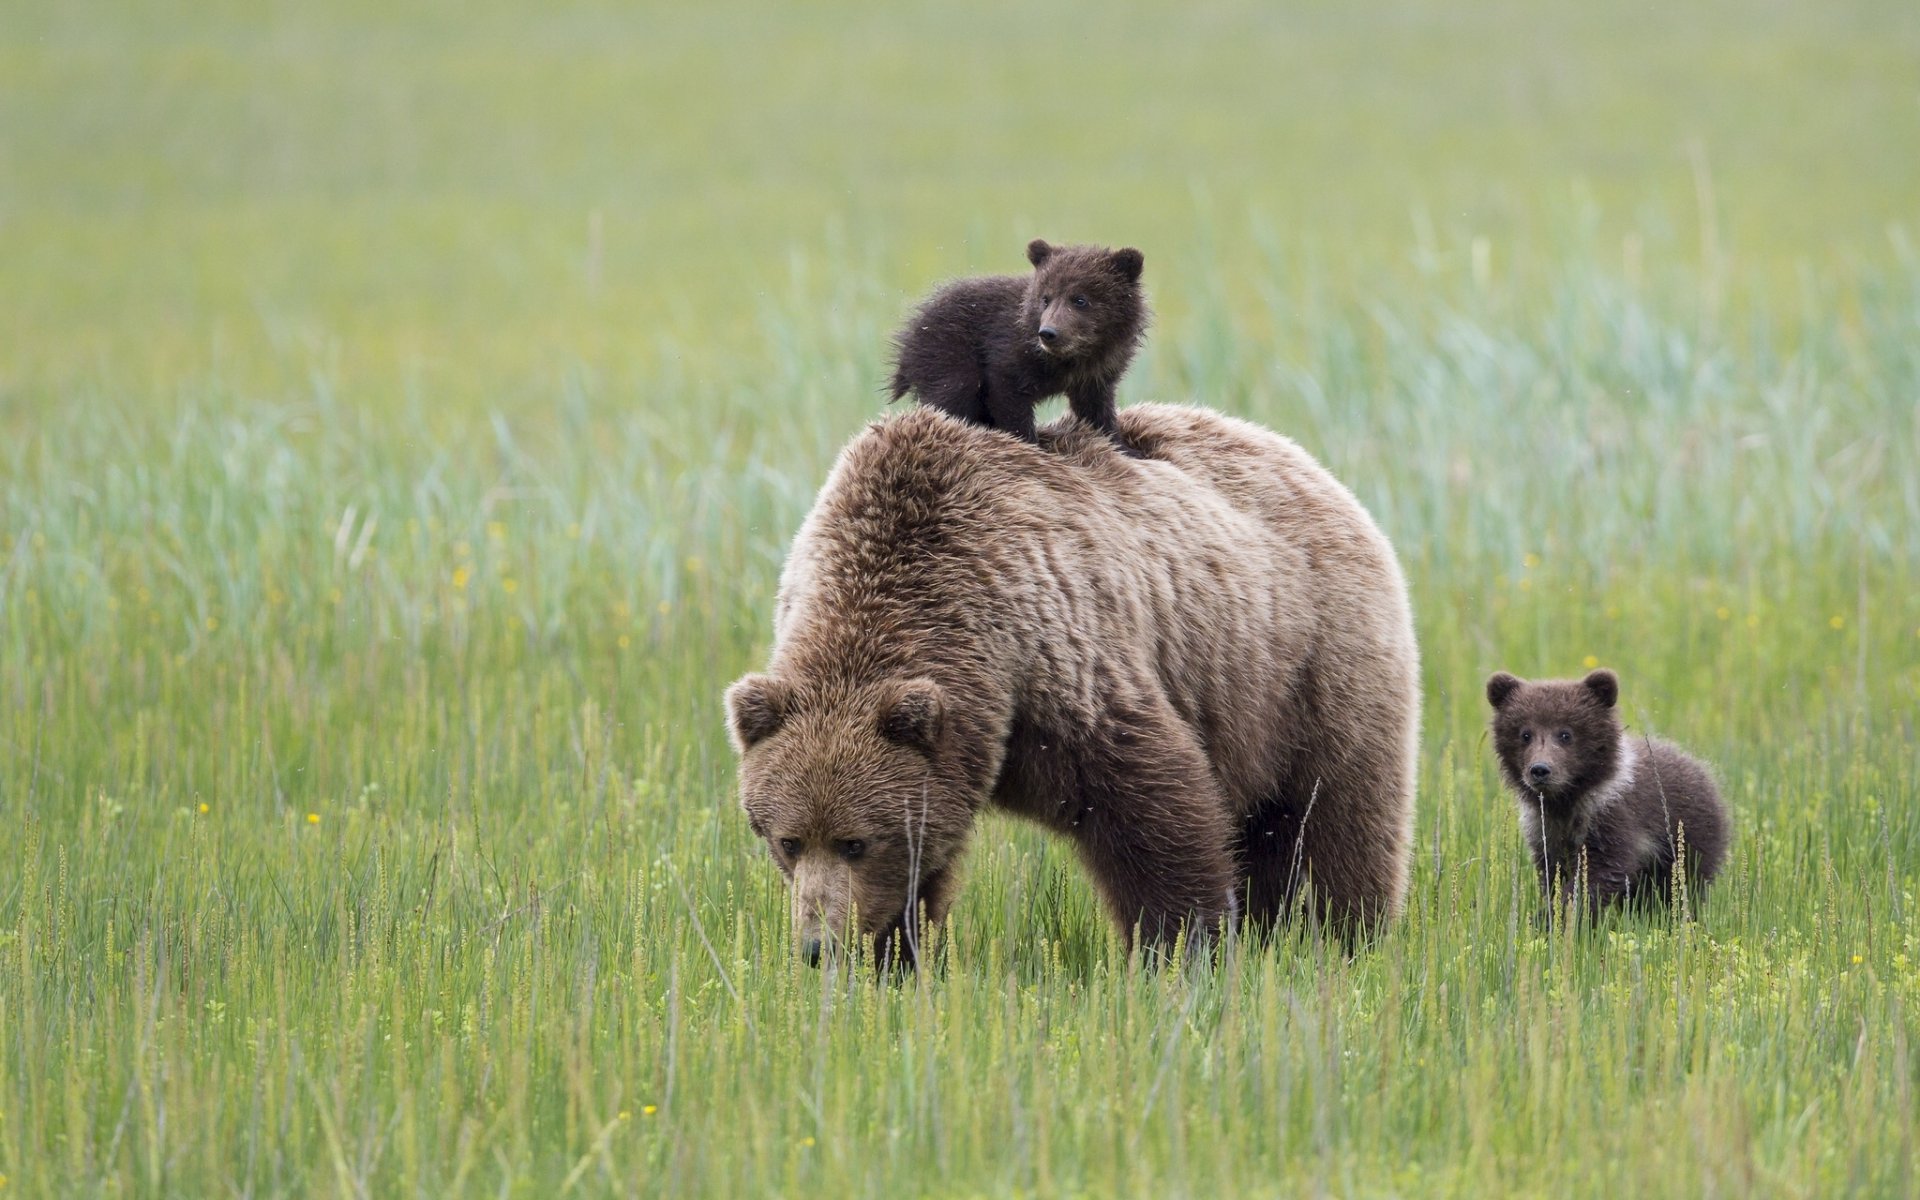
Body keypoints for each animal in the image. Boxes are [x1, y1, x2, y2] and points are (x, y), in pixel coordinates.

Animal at [725, 403, 1421, 967]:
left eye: (855, 842)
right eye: (787, 841)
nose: (817, 946)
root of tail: (1307, 462)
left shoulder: (1057, 657)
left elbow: (1156, 807)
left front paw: (1182, 950)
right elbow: (922, 869)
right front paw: (896, 961)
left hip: (1305, 665)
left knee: (1333, 822)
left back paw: (1341, 941)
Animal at [886, 239, 1148, 451]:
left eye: (1080, 299)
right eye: (1045, 298)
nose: (1048, 333)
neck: (1074, 357)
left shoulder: (1096, 373)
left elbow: (1096, 409)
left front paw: (1123, 446)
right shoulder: (1008, 351)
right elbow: (1008, 395)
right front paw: (1028, 443)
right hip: (948, 352)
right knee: (952, 395)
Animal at [1485, 668, 1729, 916]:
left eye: (1565, 734)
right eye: (1525, 734)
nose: (1540, 769)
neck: (1567, 799)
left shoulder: (1610, 817)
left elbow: (1599, 873)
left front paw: (1554, 914)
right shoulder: (1545, 829)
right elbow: (1552, 873)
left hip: (1687, 838)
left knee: (1682, 884)